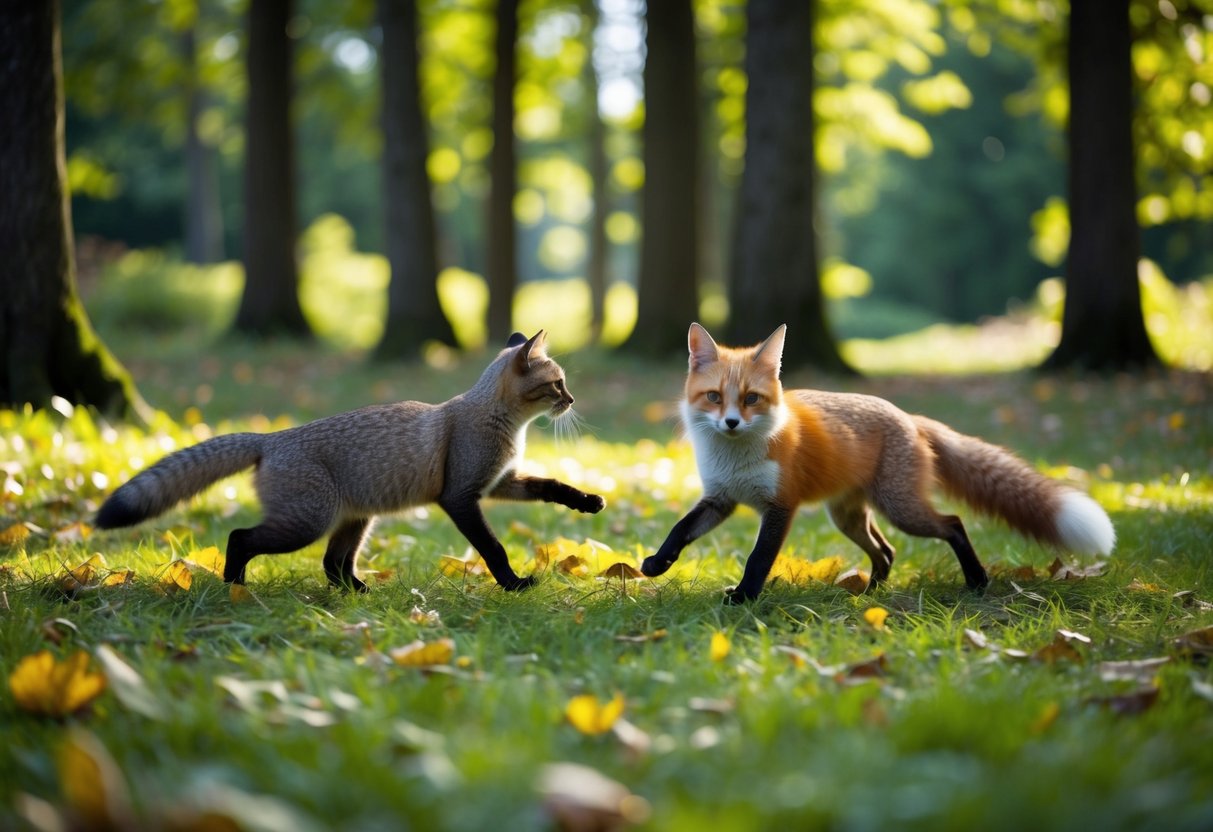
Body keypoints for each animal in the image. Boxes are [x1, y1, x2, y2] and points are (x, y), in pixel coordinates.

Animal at [95, 331, 606, 592]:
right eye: (557, 385)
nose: (573, 400)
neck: (497, 423)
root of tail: (272, 436)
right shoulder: (461, 496)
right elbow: (494, 548)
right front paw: (514, 584)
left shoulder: (499, 482)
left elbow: (551, 486)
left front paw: (586, 502)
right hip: (307, 523)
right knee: (241, 538)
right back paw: (235, 588)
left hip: (355, 520)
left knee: (333, 564)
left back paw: (356, 593)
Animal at [640, 323, 1116, 602]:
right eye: (714, 397)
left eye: (752, 399)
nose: (732, 423)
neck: (737, 459)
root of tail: (909, 417)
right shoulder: (721, 498)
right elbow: (680, 529)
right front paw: (657, 564)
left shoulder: (780, 506)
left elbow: (758, 558)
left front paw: (744, 598)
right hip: (848, 517)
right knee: (886, 551)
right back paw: (869, 593)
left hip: (901, 510)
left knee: (952, 524)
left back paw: (977, 581)